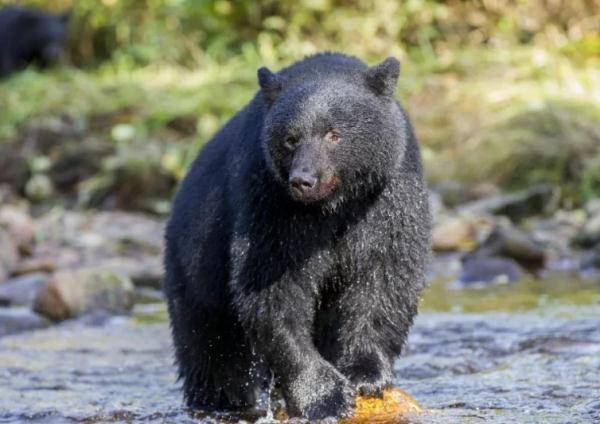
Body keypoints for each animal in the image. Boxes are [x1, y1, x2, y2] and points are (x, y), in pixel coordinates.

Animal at [164, 51, 432, 420]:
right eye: (290, 139)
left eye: (334, 135)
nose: (303, 180)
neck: (333, 206)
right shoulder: (271, 201)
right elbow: (274, 286)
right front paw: (324, 396)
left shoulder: (388, 193)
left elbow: (384, 273)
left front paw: (365, 373)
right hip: (196, 268)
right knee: (214, 351)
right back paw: (223, 401)